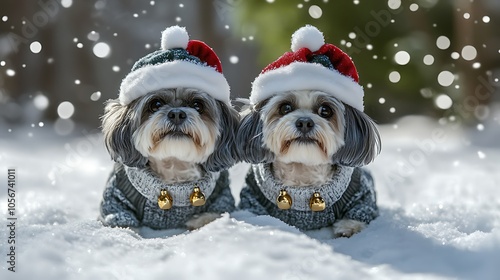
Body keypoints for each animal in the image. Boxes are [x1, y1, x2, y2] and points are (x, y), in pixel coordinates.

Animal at [99, 26, 238, 230]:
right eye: (155, 104)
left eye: (197, 105)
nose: (177, 114)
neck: (174, 170)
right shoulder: (116, 198)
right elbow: (122, 222)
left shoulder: (222, 195)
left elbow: (212, 215)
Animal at [236, 25, 380, 237]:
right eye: (285, 107)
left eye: (325, 110)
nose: (304, 122)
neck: (302, 174)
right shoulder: (252, 196)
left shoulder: (361, 192)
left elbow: (362, 209)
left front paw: (348, 226)